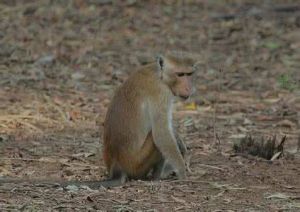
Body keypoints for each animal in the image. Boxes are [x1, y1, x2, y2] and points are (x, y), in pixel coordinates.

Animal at [0, 53, 196, 189]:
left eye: (189, 74)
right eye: (180, 74)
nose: (189, 87)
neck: (159, 75)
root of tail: (116, 168)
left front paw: (181, 143)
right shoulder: (161, 93)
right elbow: (161, 133)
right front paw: (183, 173)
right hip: (136, 162)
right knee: (156, 142)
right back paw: (157, 177)